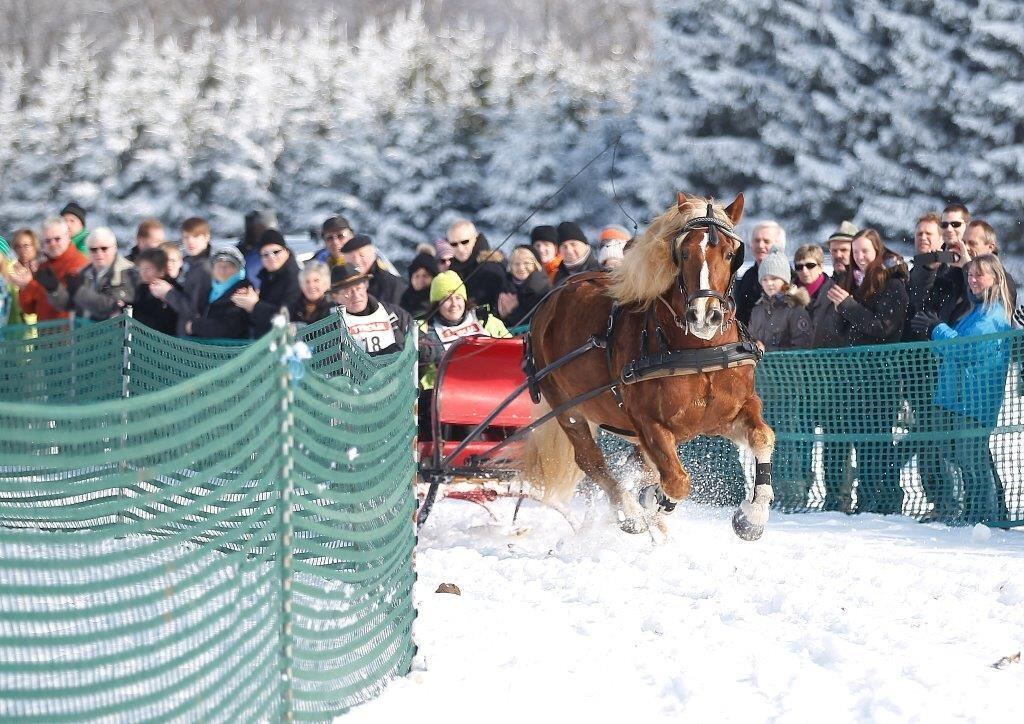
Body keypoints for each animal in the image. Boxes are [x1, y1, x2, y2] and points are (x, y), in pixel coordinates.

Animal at [520, 191, 774, 536]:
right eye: (683, 252)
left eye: (730, 252)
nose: (704, 316)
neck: (698, 353)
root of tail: (551, 298)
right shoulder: (648, 423)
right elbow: (677, 482)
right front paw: (653, 505)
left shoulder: (732, 413)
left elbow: (763, 437)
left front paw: (752, 517)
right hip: (567, 408)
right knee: (590, 459)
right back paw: (629, 512)